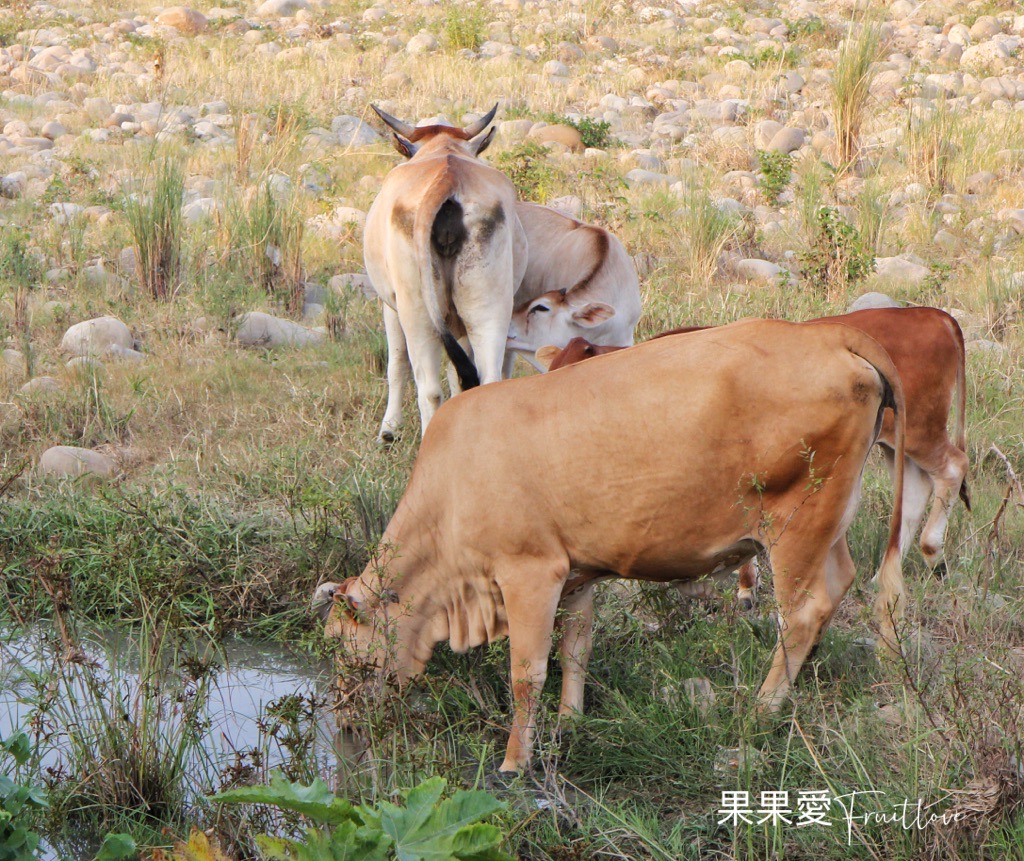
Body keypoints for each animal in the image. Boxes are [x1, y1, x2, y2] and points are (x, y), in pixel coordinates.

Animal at [311, 315, 905, 773]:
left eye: (342, 648)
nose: (343, 727)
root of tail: (826, 333)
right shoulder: (575, 571)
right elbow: (576, 648)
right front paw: (569, 722)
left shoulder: (529, 572)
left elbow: (527, 673)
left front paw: (514, 762)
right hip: (829, 521)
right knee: (840, 583)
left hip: (795, 525)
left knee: (801, 613)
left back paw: (763, 708)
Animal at [366, 106, 528, 440]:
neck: (443, 148)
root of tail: (447, 177)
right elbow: (457, 376)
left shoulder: (390, 304)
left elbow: (396, 363)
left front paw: (389, 428)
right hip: (488, 306)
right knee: (486, 378)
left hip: (416, 311)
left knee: (428, 389)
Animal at [536, 305, 966, 601]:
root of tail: (931, 314)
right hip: (897, 444)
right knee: (915, 491)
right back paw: (882, 577)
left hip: (923, 431)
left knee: (953, 466)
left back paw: (932, 553)